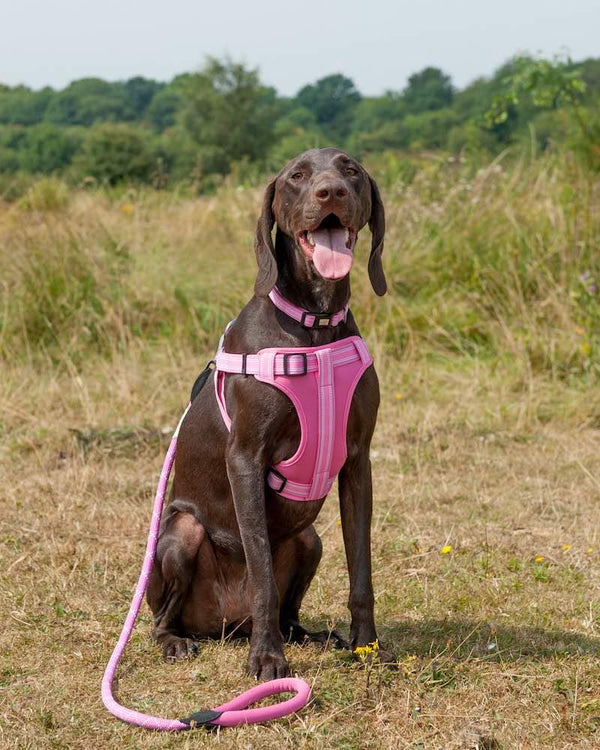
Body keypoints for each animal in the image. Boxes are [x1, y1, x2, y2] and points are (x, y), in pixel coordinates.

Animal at [148, 148, 394, 680]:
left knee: (290, 608)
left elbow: (361, 570)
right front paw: (267, 658)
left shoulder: (357, 460)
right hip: (180, 533)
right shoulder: (246, 458)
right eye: (297, 176)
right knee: (162, 617)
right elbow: (261, 569)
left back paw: (309, 635)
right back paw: (180, 641)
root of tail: (227, 626)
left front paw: (367, 646)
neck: (315, 323)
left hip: (309, 540)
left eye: (350, 170)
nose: (330, 192)